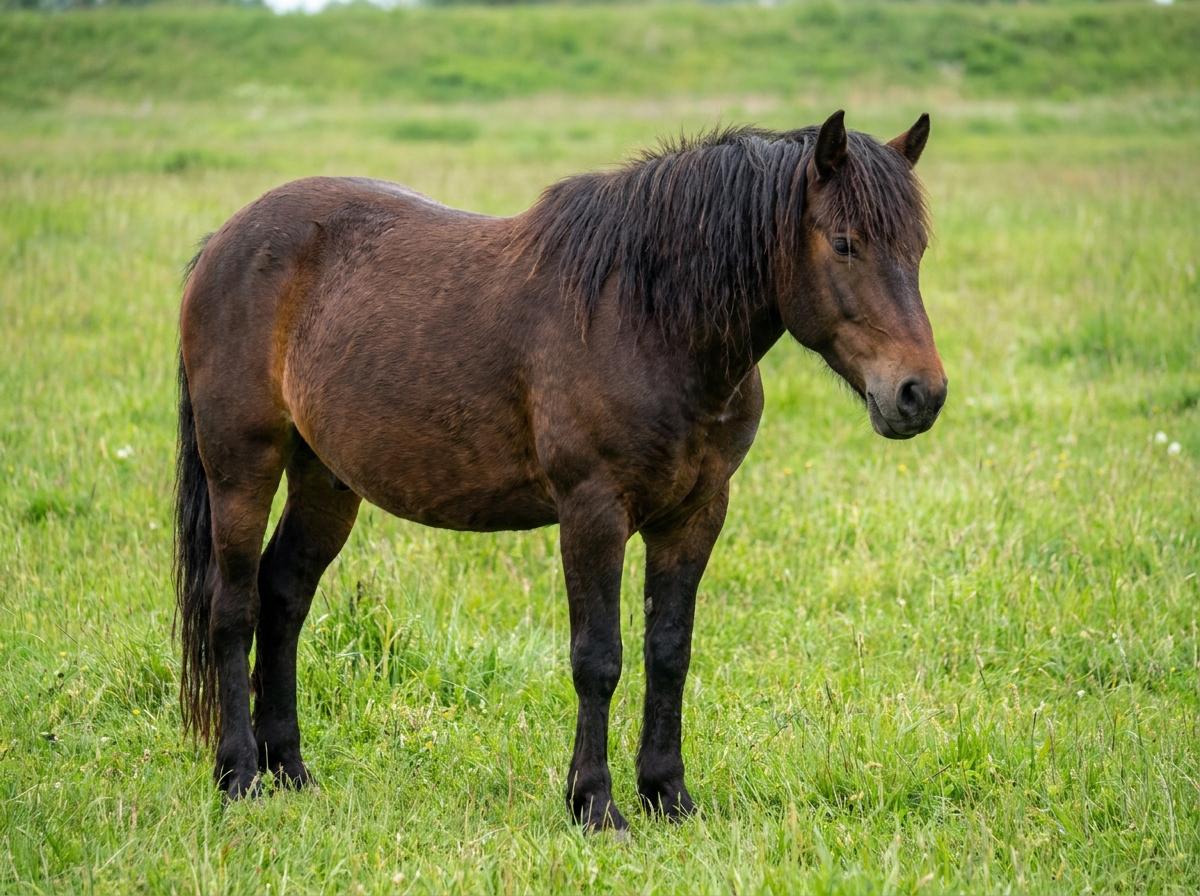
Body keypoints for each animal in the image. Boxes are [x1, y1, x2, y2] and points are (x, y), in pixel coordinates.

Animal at [174, 110, 946, 831]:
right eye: (844, 243)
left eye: (917, 247)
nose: (920, 394)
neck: (646, 318)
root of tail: (223, 241)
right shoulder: (592, 512)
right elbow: (598, 658)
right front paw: (595, 805)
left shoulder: (695, 514)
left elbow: (669, 652)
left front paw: (668, 795)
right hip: (242, 465)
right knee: (233, 606)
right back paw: (239, 775)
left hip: (326, 480)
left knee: (283, 596)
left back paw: (290, 770)